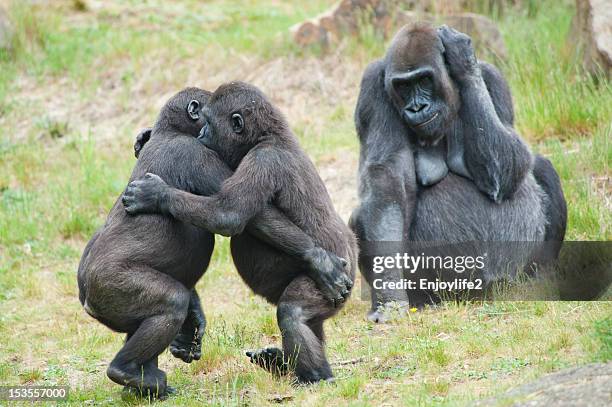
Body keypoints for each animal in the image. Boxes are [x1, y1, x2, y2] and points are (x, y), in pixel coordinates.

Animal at [79, 87, 352, 398]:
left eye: (209, 122)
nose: (203, 133)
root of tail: (86, 299)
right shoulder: (201, 152)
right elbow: (232, 215)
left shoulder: (246, 158)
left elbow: (229, 214)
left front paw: (156, 193)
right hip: (106, 288)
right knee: (172, 303)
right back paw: (132, 373)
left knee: (294, 313)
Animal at [346, 23, 568, 322]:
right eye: (403, 86)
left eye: (424, 80)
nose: (417, 107)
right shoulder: (372, 87)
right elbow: (387, 188)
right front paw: (389, 297)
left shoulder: (493, 77)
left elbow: (511, 165)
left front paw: (464, 61)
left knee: (542, 168)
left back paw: (541, 277)